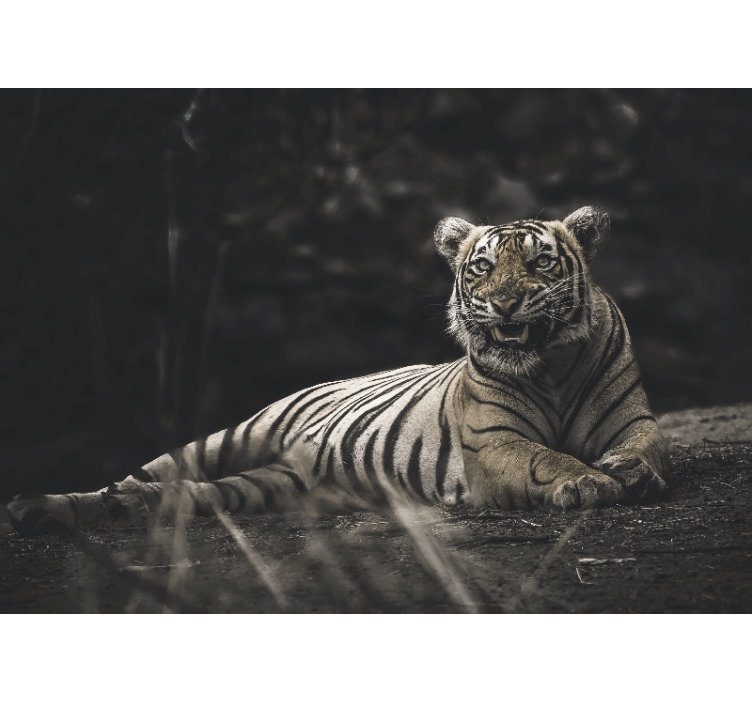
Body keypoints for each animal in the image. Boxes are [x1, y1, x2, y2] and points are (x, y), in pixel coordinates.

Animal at [7, 206, 669, 537]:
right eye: (481, 268)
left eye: (540, 264)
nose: (504, 304)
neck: (550, 367)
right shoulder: (495, 444)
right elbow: (544, 459)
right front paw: (587, 482)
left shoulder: (631, 420)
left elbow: (645, 448)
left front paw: (627, 471)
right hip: (230, 436)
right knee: (146, 474)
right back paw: (49, 506)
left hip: (271, 485)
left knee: (183, 496)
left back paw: (112, 509)